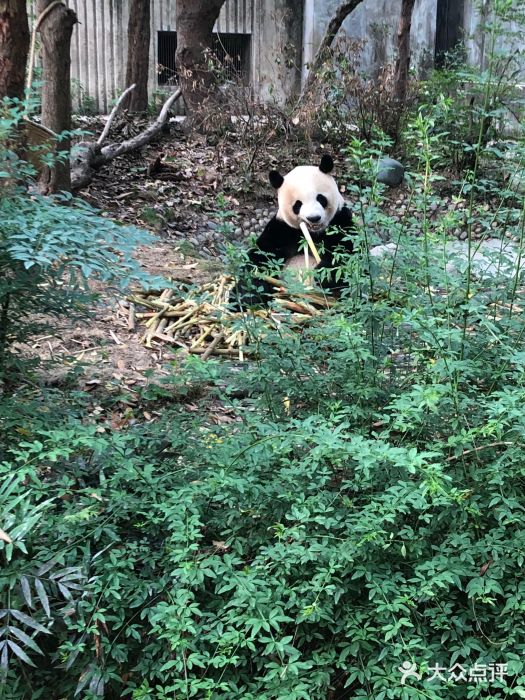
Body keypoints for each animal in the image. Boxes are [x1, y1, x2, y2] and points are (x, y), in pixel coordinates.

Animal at [234, 153, 354, 306]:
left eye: (320, 198)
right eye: (298, 204)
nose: (313, 218)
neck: (314, 233)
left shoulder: (340, 220)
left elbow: (344, 251)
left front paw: (323, 275)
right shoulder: (282, 229)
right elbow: (261, 256)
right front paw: (250, 295)